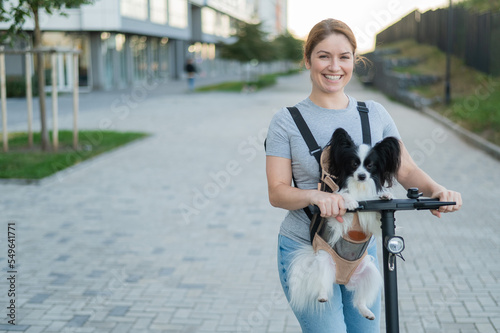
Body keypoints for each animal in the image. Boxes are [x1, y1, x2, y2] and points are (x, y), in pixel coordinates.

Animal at [288, 127, 400, 320]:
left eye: (370, 166)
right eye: (354, 164)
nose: (361, 176)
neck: (359, 188)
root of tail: (342, 279)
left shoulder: (372, 220)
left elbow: (377, 214)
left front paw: (385, 195)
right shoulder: (337, 219)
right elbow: (341, 196)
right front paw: (350, 201)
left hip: (370, 273)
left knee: (359, 300)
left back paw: (367, 311)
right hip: (324, 262)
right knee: (323, 284)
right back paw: (323, 296)